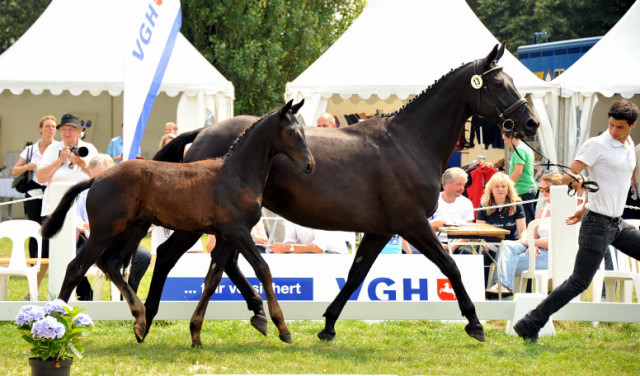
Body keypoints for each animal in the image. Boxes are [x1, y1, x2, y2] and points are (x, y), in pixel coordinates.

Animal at [40, 99, 316, 344]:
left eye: (304, 130)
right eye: (290, 131)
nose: (309, 165)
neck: (235, 175)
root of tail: (96, 178)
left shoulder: (226, 236)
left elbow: (213, 279)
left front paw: (196, 334)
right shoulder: (238, 232)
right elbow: (263, 269)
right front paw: (282, 328)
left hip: (134, 229)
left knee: (110, 263)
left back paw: (140, 319)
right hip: (104, 232)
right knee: (76, 268)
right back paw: (59, 321)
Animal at [150, 44, 540, 344]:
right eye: (499, 84)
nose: (531, 123)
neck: (408, 142)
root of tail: (202, 132)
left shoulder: (380, 230)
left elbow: (356, 275)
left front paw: (327, 325)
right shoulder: (413, 224)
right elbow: (450, 267)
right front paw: (474, 323)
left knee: (223, 262)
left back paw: (255, 313)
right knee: (170, 254)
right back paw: (154, 315)